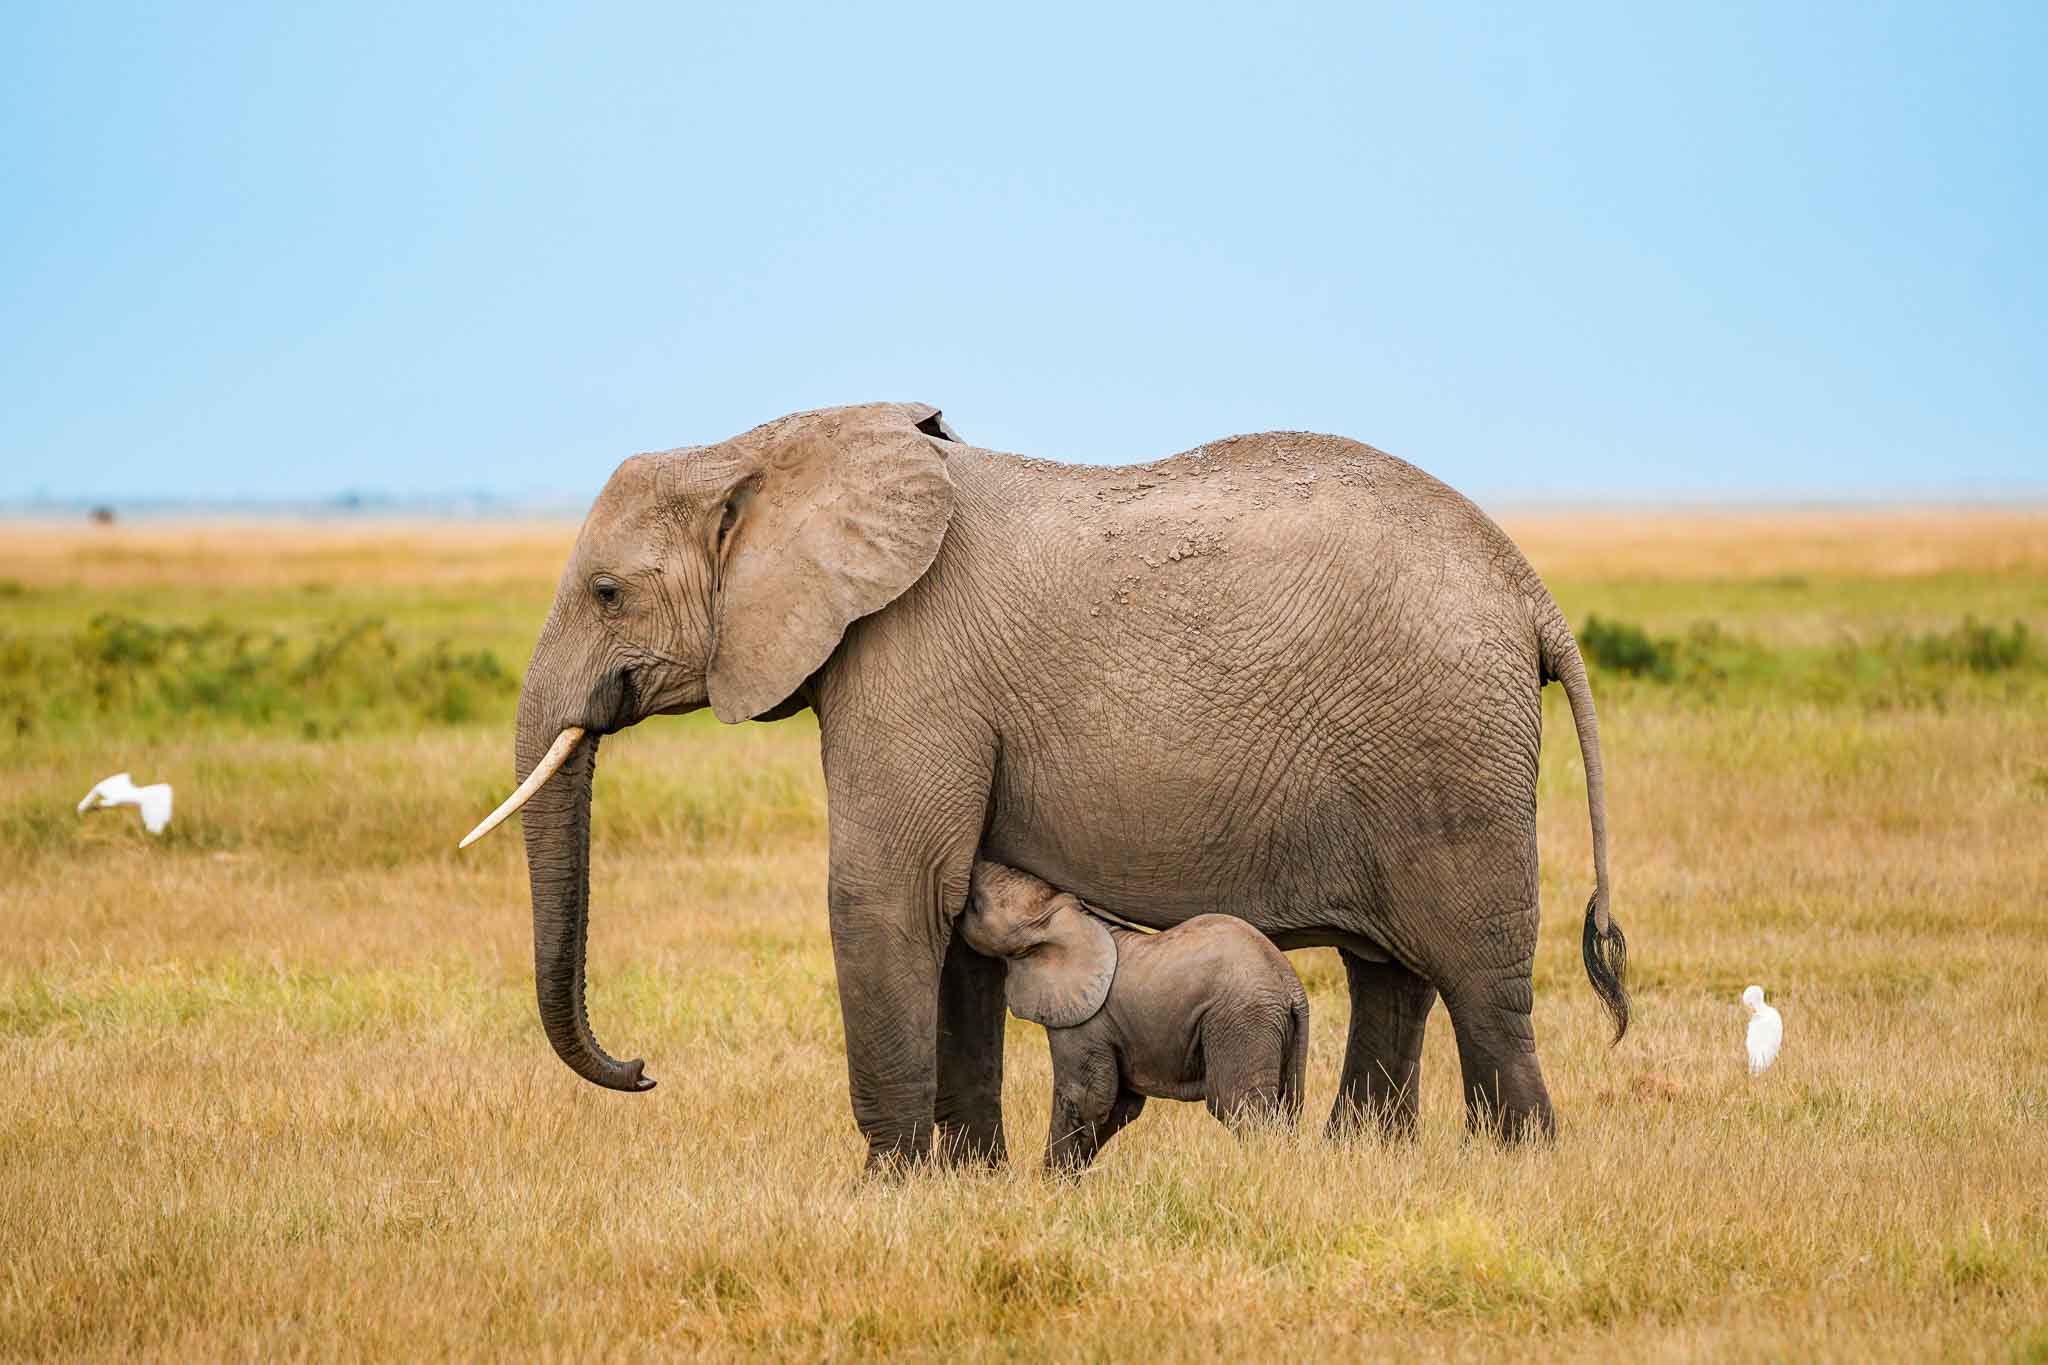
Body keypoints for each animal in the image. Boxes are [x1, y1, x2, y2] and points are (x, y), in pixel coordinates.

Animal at [960, 859, 1310, 1172]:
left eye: (977, 905)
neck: (1073, 917)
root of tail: (1291, 985)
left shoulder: (1085, 1022)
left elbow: (1085, 1099)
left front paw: (1050, 1187)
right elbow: (1118, 1106)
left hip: (1242, 1020)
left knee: (1240, 1108)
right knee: (1286, 1107)